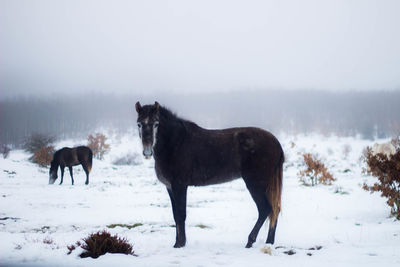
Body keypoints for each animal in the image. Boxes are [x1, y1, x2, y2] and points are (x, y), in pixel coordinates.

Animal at [135, 102, 284, 249]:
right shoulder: (170, 187)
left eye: (156, 123)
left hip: (255, 183)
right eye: (139, 124)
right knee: (274, 209)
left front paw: (180, 244)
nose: (147, 152)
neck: (176, 143)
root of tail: (276, 143)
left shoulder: (180, 186)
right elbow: (175, 215)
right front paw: (178, 242)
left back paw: (250, 241)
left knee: (265, 209)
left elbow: (181, 214)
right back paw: (269, 242)